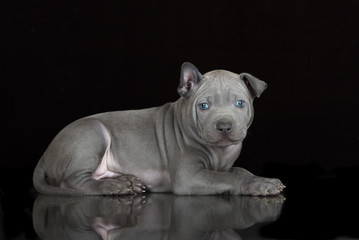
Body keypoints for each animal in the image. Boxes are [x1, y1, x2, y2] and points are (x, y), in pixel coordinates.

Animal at [33, 62, 286, 196]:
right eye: (204, 106)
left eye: (240, 104)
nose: (224, 126)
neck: (219, 151)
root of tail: (45, 154)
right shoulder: (189, 177)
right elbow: (229, 178)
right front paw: (259, 186)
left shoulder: (225, 166)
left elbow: (240, 171)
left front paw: (263, 179)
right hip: (92, 134)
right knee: (74, 181)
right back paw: (113, 186)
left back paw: (128, 182)